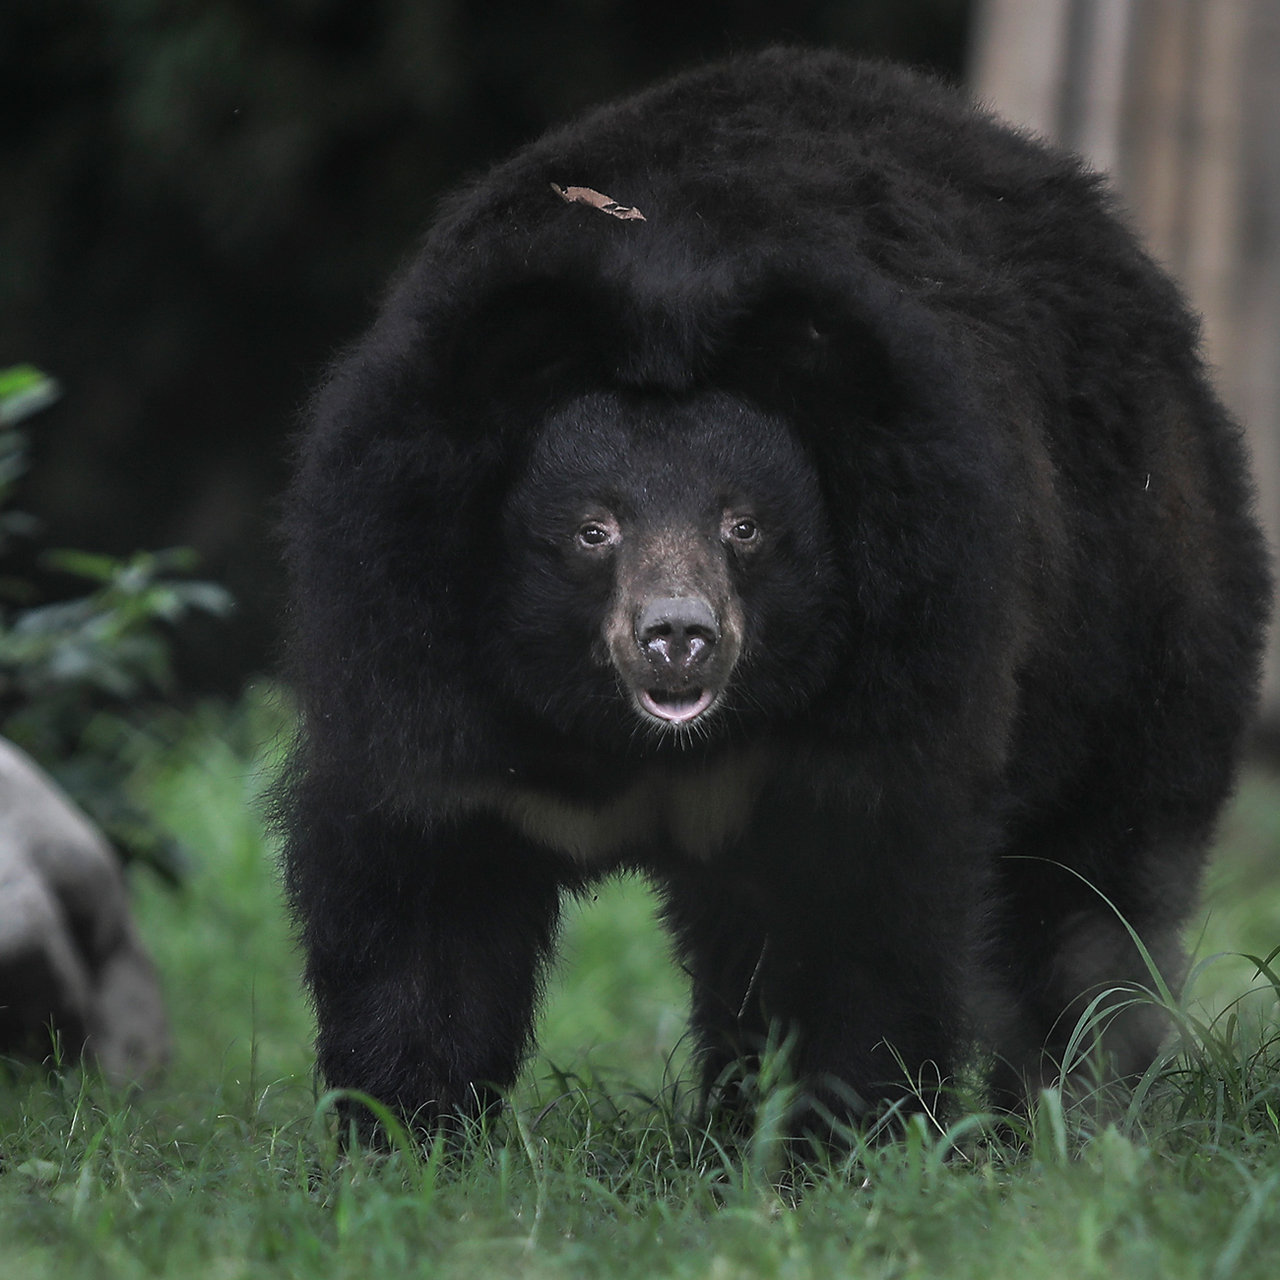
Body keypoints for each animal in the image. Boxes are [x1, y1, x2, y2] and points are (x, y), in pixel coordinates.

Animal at [280, 47, 1269, 1131]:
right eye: (593, 529)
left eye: (743, 525)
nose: (677, 636)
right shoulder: (412, 631)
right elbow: (421, 886)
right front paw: (406, 1127)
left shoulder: (905, 644)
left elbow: (850, 916)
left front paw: (827, 1134)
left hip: (1137, 609)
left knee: (1096, 882)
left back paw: (1070, 1108)